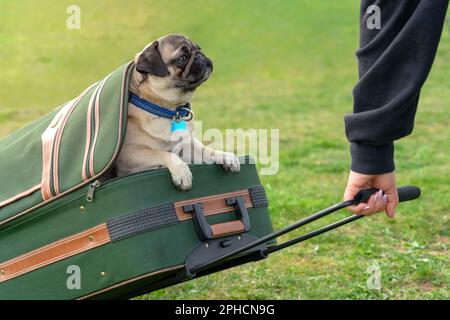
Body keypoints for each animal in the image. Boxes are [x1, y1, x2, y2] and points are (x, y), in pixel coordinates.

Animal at [114, 35, 241, 190]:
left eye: (198, 49)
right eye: (183, 58)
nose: (200, 55)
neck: (171, 109)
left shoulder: (186, 147)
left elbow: (206, 150)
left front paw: (225, 156)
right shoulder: (130, 155)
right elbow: (163, 153)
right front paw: (182, 172)